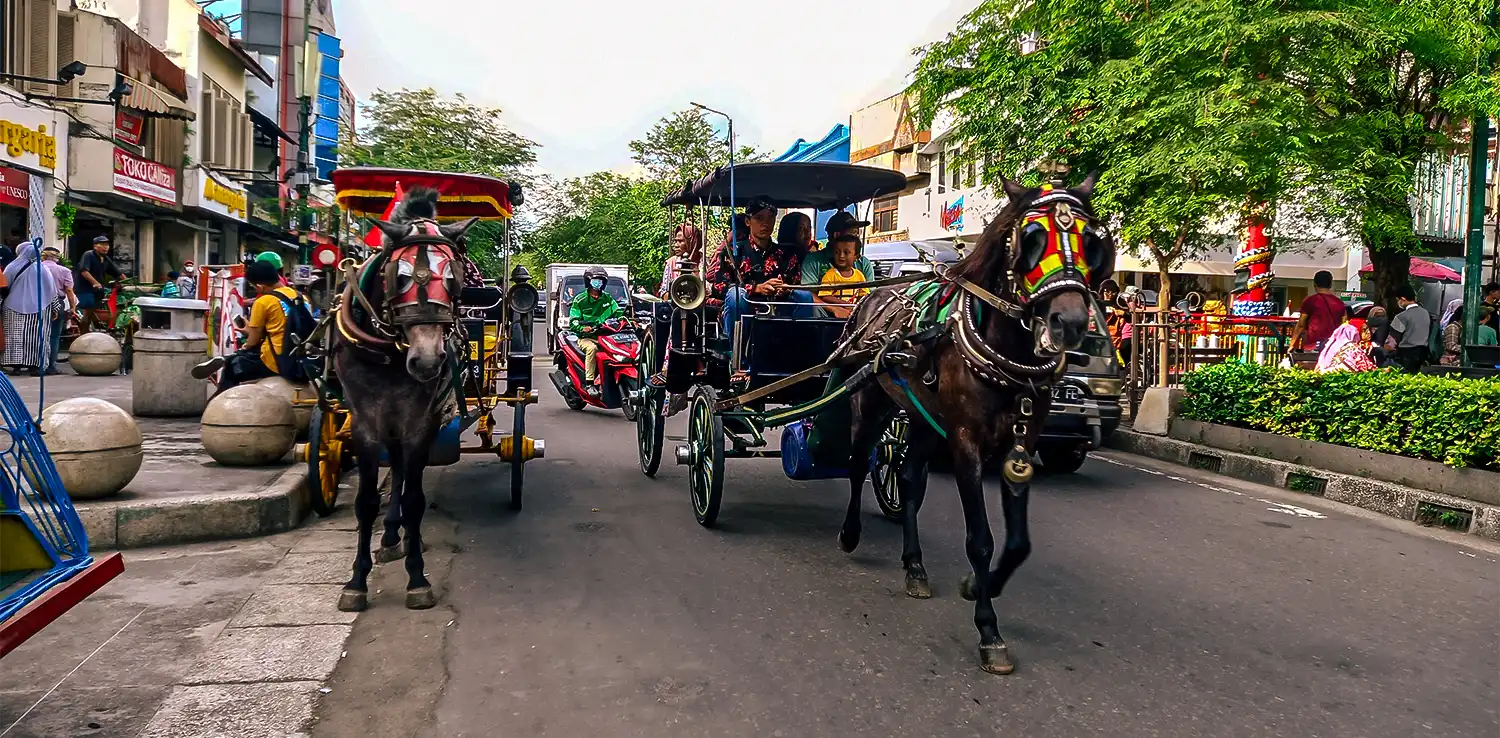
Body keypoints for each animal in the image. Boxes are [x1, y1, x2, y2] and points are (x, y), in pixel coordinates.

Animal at [333, 189, 474, 612]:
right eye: (399, 276)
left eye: (454, 277)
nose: (427, 361)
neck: (390, 350)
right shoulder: (364, 422)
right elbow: (365, 501)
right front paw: (356, 582)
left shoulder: (420, 422)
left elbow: (414, 498)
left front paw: (417, 577)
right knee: (394, 467)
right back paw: (391, 536)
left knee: (405, 473)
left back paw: (405, 538)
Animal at [840, 174, 1110, 675]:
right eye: (1032, 237)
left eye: (1090, 241)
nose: (1069, 323)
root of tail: (874, 296)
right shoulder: (965, 442)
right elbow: (981, 539)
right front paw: (989, 629)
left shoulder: (1019, 445)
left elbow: (1018, 542)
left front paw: (979, 587)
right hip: (870, 401)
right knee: (856, 462)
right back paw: (850, 533)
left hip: (923, 419)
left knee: (909, 479)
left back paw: (915, 566)